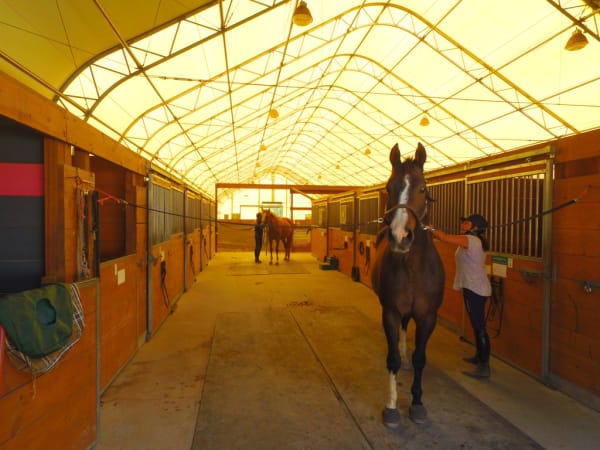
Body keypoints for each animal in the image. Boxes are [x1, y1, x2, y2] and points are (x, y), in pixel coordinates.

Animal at [370, 142, 446, 428]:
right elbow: (390, 358)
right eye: (389, 187)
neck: (413, 268)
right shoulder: (390, 312)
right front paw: (392, 408)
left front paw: (417, 405)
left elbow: (420, 359)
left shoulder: (428, 317)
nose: (400, 236)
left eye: (422, 189)